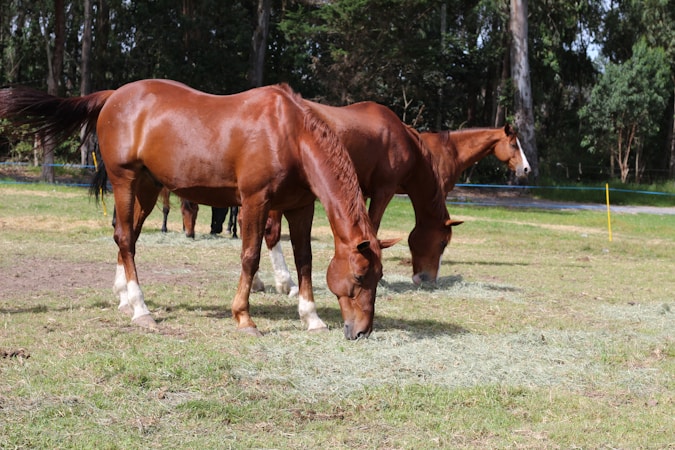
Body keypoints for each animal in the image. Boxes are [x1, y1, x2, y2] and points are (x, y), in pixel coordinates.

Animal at [0, 80, 396, 339]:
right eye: (360, 276)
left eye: (377, 277)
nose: (361, 332)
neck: (289, 133)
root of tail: (114, 97)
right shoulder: (255, 201)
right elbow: (250, 256)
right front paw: (244, 317)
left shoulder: (300, 207)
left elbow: (305, 260)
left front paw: (311, 317)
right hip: (125, 181)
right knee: (125, 238)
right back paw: (141, 310)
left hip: (147, 187)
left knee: (126, 237)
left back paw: (125, 299)